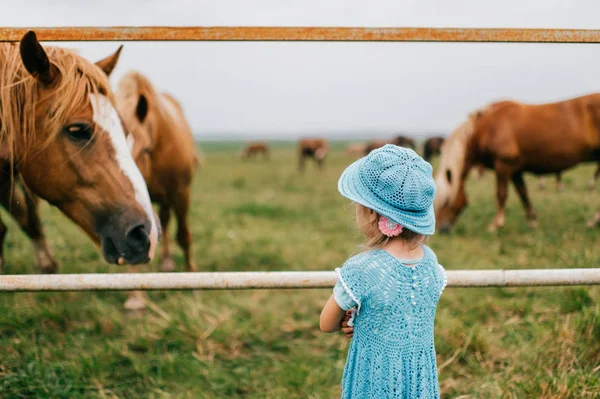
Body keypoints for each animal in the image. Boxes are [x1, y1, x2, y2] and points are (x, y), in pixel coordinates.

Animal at [436, 95, 600, 233]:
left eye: (446, 201)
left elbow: (501, 194)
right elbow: (523, 194)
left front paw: (496, 224)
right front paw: (533, 221)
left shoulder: (503, 165)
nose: (441, 229)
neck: (488, 128)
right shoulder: (515, 171)